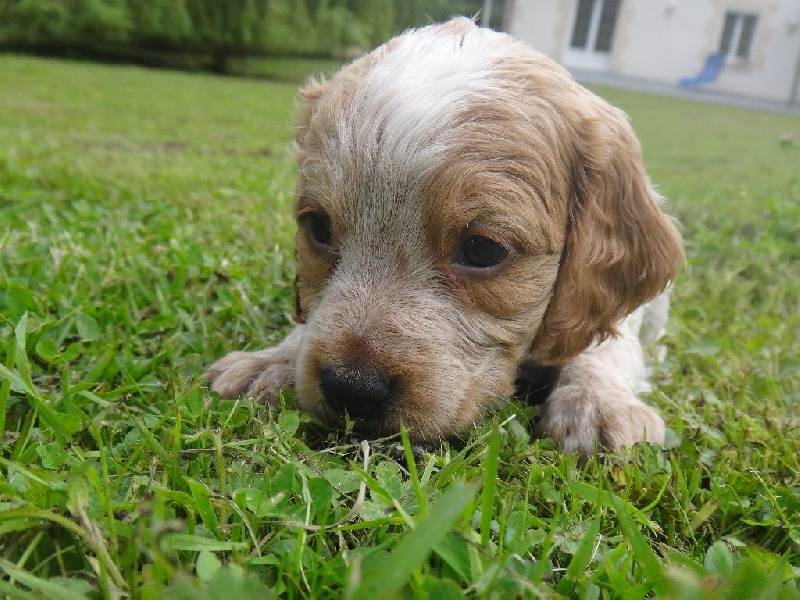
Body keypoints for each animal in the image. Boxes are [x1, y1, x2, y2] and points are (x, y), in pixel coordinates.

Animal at [205, 18, 684, 458]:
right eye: (319, 228)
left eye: (483, 249)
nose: (352, 389)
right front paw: (273, 360)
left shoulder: (613, 317)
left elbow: (605, 345)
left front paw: (597, 403)